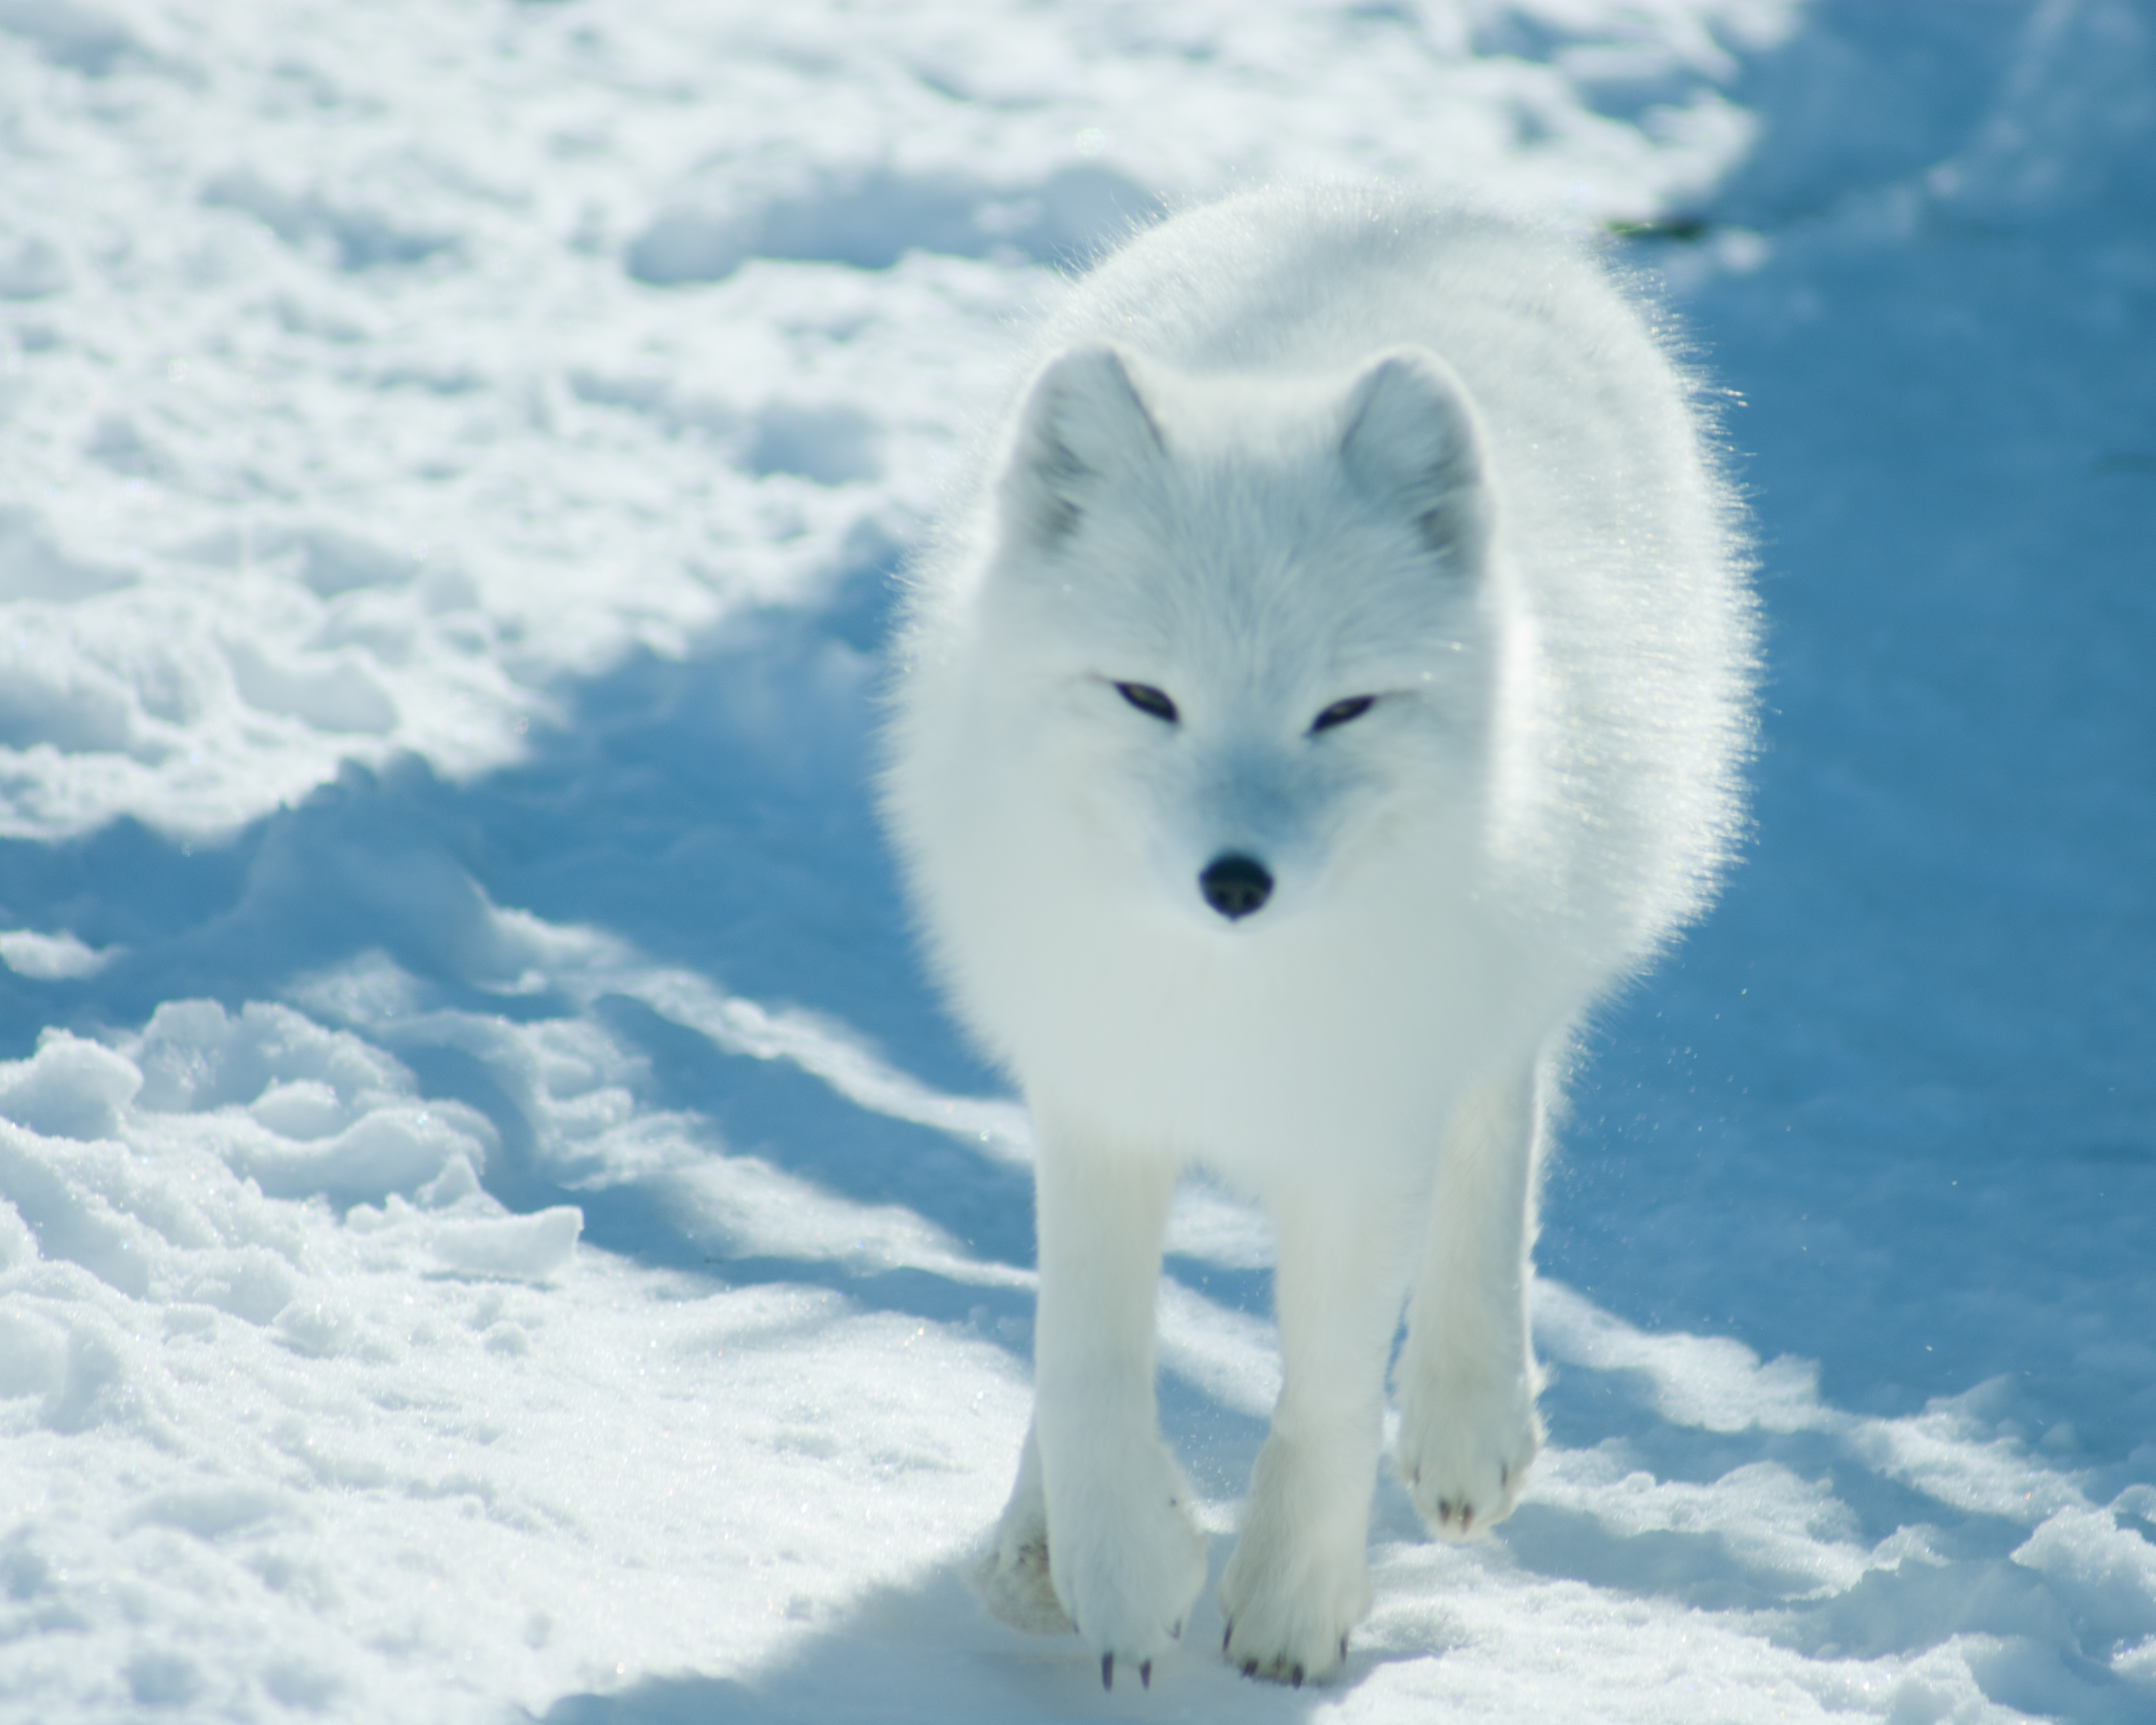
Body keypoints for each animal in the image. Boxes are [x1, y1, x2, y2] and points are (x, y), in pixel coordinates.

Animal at [875, 189, 1750, 1682]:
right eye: (1145, 696)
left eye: (1341, 711)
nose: (1235, 880)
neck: (1234, 1000)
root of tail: (1391, 200)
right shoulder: (1093, 1086)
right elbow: (1083, 1351)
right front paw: (1116, 1563)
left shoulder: (1359, 1129)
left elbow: (1331, 1377)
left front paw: (1291, 1597)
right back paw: (1032, 1545)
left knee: (1497, 1127)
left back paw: (1465, 1411)